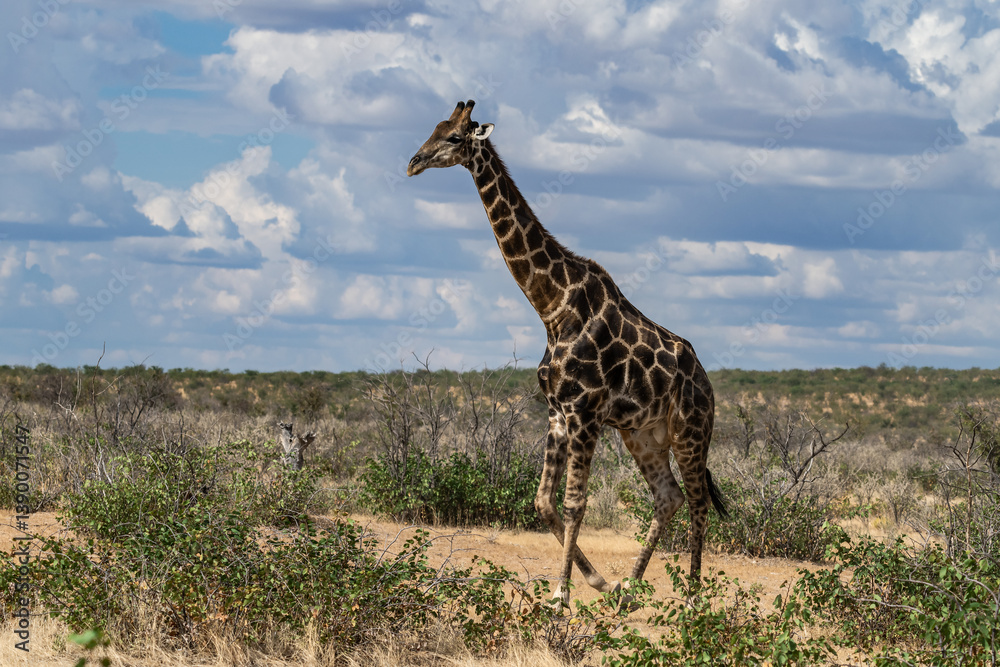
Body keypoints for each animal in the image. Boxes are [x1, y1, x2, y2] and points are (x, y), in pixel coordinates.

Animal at [407, 100, 727, 604]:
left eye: (455, 137)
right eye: (434, 128)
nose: (413, 163)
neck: (552, 307)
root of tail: (707, 383)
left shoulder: (585, 412)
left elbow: (575, 503)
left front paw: (562, 594)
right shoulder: (558, 412)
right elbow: (543, 501)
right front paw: (597, 581)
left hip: (691, 432)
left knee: (697, 501)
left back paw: (694, 596)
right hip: (642, 434)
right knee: (669, 496)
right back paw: (629, 587)